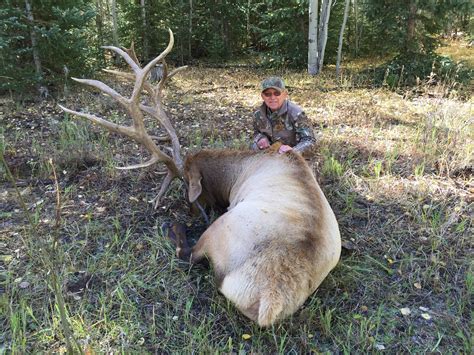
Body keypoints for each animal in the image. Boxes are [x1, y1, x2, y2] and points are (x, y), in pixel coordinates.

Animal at [59, 29, 340, 328]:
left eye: (186, 183)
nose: (191, 209)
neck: (236, 170)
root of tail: (270, 299)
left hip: (218, 230)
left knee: (187, 255)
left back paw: (173, 227)